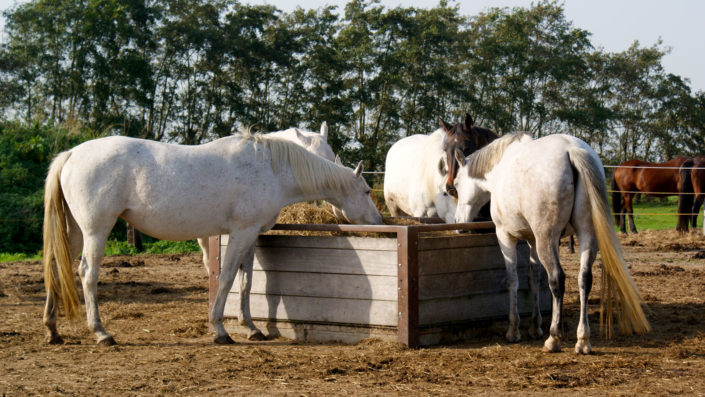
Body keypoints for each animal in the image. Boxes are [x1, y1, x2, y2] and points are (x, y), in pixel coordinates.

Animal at [452, 132, 648, 352]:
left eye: (456, 184)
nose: (458, 223)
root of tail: (571, 149)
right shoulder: (532, 241)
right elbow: (534, 279)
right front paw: (535, 326)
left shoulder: (506, 237)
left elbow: (513, 280)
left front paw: (514, 330)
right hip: (586, 235)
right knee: (584, 279)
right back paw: (582, 339)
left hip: (547, 239)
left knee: (557, 279)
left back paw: (554, 338)